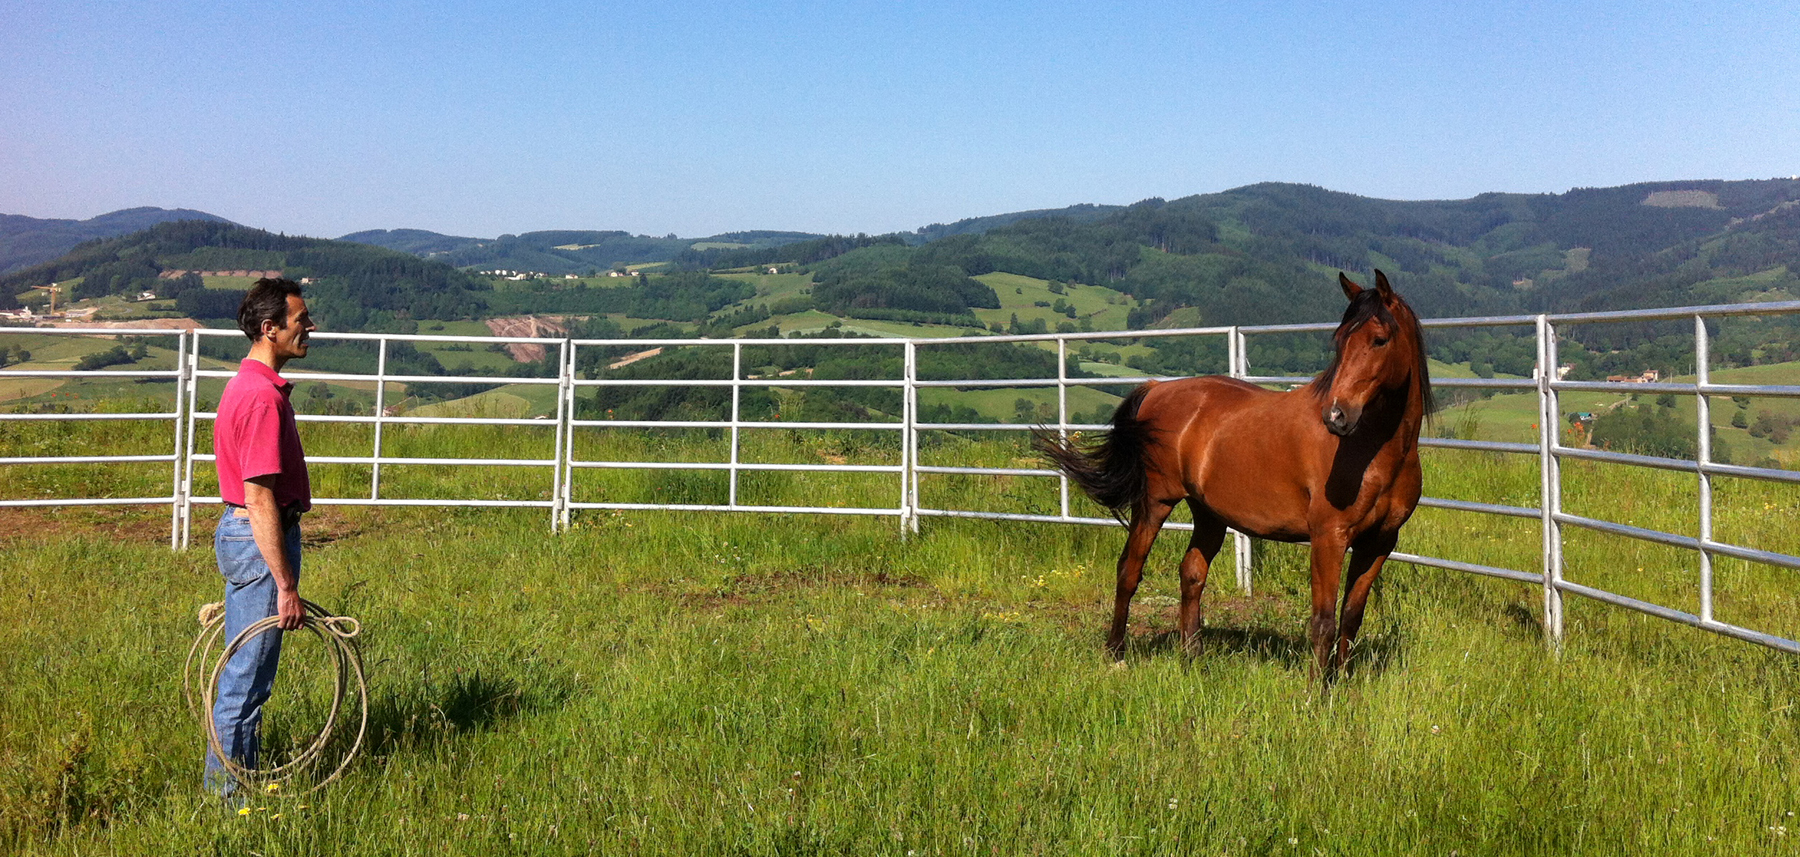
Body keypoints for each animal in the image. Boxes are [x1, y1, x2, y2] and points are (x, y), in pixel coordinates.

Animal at [1036, 270, 1425, 676]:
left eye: (1380, 339)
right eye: (1341, 341)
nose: (1336, 416)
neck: (1372, 450)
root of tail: (1157, 389)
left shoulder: (1378, 543)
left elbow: (1351, 616)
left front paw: (1341, 683)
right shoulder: (1328, 538)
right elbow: (1323, 621)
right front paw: (1318, 689)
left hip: (1208, 512)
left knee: (1192, 574)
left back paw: (1192, 656)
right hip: (1156, 501)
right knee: (1129, 570)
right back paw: (1116, 653)